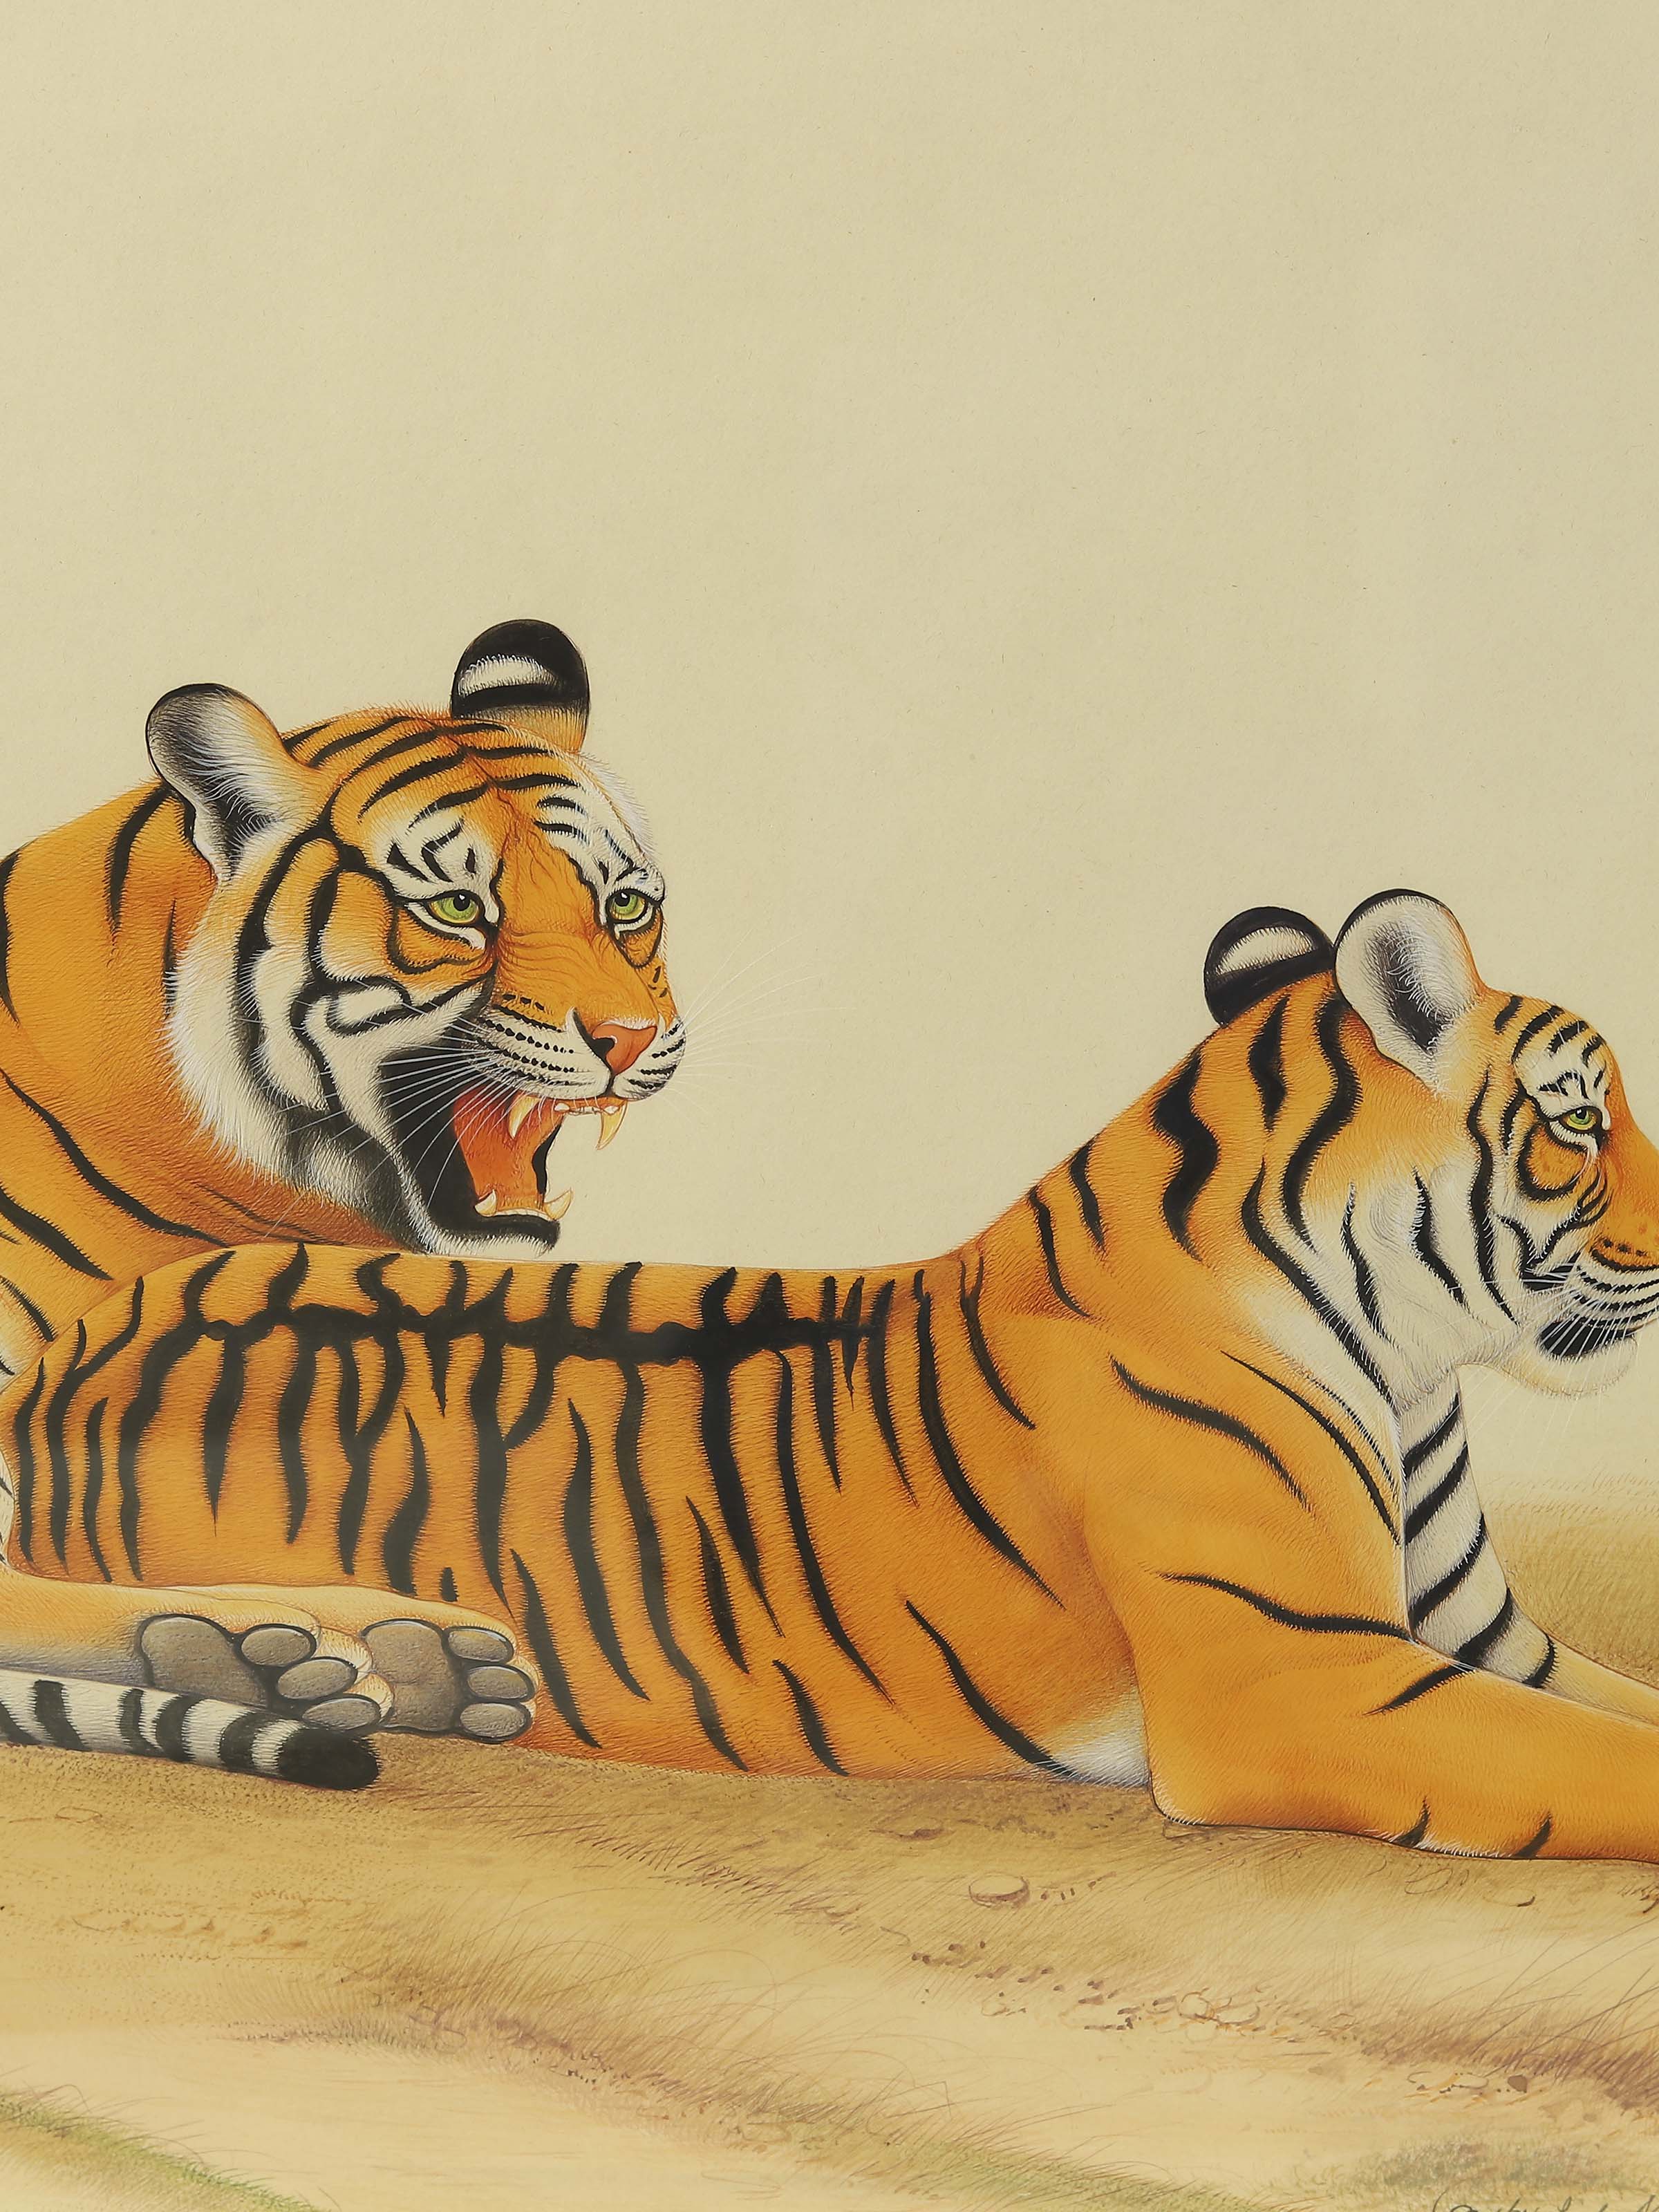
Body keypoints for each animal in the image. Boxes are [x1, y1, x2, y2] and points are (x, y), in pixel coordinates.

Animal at [7, 887, 1659, 1857]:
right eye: (1582, 1121)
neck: (1410, 1362)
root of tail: (71, 1350)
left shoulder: (1485, 1646)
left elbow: (1618, 1714)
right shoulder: (1302, 1678)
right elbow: (1601, 1763)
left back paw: (386, 1663)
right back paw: (295, 1652)